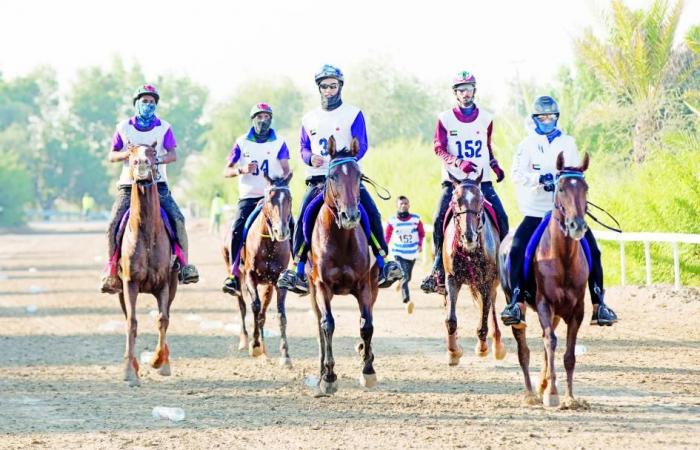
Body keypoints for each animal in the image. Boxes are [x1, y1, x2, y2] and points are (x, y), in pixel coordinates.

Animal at [221, 172, 292, 366]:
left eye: (289, 198)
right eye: (270, 199)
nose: (281, 231)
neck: (270, 244)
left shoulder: (278, 280)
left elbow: (280, 314)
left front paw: (285, 355)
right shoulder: (250, 276)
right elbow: (254, 306)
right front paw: (255, 345)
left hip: (267, 285)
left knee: (262, 314)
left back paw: (265, 352)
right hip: (237, 276)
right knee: (242, 306)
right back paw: (245, 340)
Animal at [308, 136, 380, 394]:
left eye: (359, 176)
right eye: (333, 176)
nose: (350, 216)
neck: (340, 239)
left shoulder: (364, 285)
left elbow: (366, 325)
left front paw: (368, 371)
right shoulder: (321, 286)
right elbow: (327, 325)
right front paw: (329, 377)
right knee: (319, 327)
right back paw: (321, 372)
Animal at [442, 171, 504, 366]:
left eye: (481, 200)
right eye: (455, 200)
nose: (469, 236)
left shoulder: (487, 282)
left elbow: (484, 319)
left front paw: (482, 348)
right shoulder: (452, 279)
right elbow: (451, 319)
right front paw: (453, 352)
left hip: (492, 283)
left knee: (491, 307)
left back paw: (497, 346)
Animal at [500, 153, 592, 410]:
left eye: (585, 188)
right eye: (560, 188)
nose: (577, 226)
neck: (563, 258)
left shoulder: (577, 310)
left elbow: (569, 354)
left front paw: (570, 398)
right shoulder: (544, 304)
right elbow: (550, 342)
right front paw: (552, 394)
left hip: (558, 314)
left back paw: (540, 387)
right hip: (518, 308)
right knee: (524, 349)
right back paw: (531, 394)